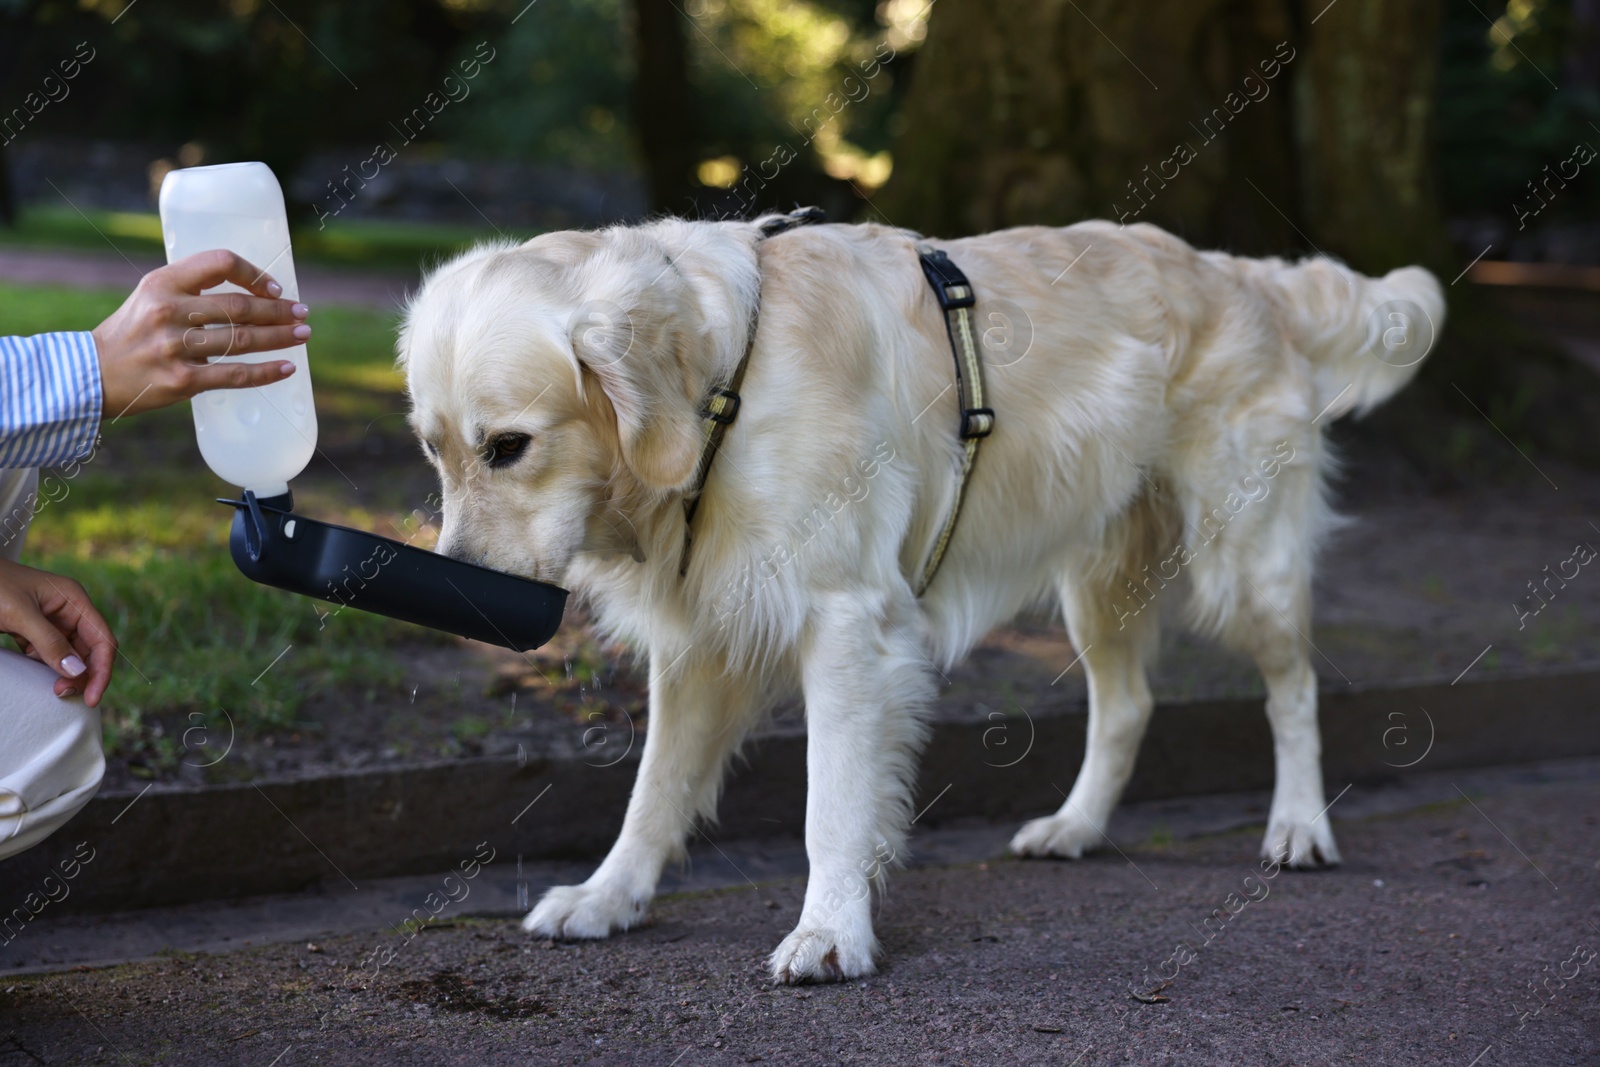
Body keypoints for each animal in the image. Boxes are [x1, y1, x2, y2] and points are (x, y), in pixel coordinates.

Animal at [403, 217, 1452, 985]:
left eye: (510, 445)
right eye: (432, 448)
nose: (461, 599)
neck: (724, 385)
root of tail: (1241, 272)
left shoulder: (846, 622)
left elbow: (832, 804)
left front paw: (830, 933)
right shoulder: (703, 635)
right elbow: (653, 790)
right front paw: (606, 898)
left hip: (1244, 561)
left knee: (1294, 685)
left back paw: (1300, 826)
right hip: (1100, 578)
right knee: (1128, 703)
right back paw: (1075, 826)